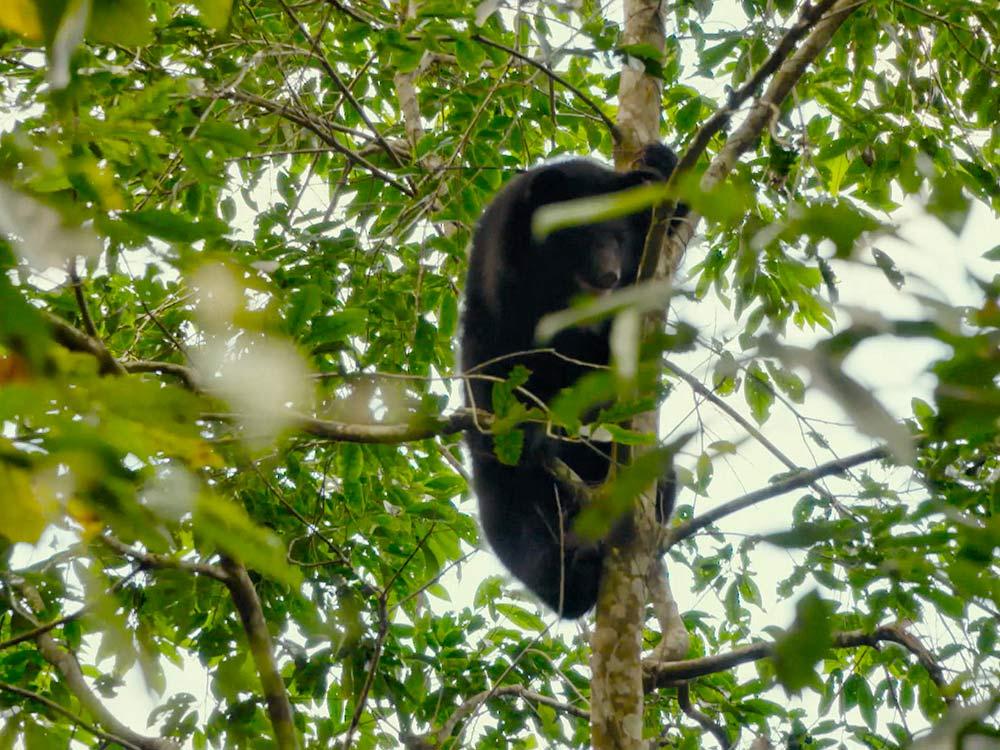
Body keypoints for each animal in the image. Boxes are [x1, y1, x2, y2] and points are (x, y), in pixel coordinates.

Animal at [460, 144, 680, 620]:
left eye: (619, 239)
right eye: (580, 236)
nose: (608, 275)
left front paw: (663, 163)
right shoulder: (502, 282)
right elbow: (506, 355)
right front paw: (529, 429)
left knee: (664, 475)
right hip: (500, 477)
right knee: (512, 523)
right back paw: (569, 573)